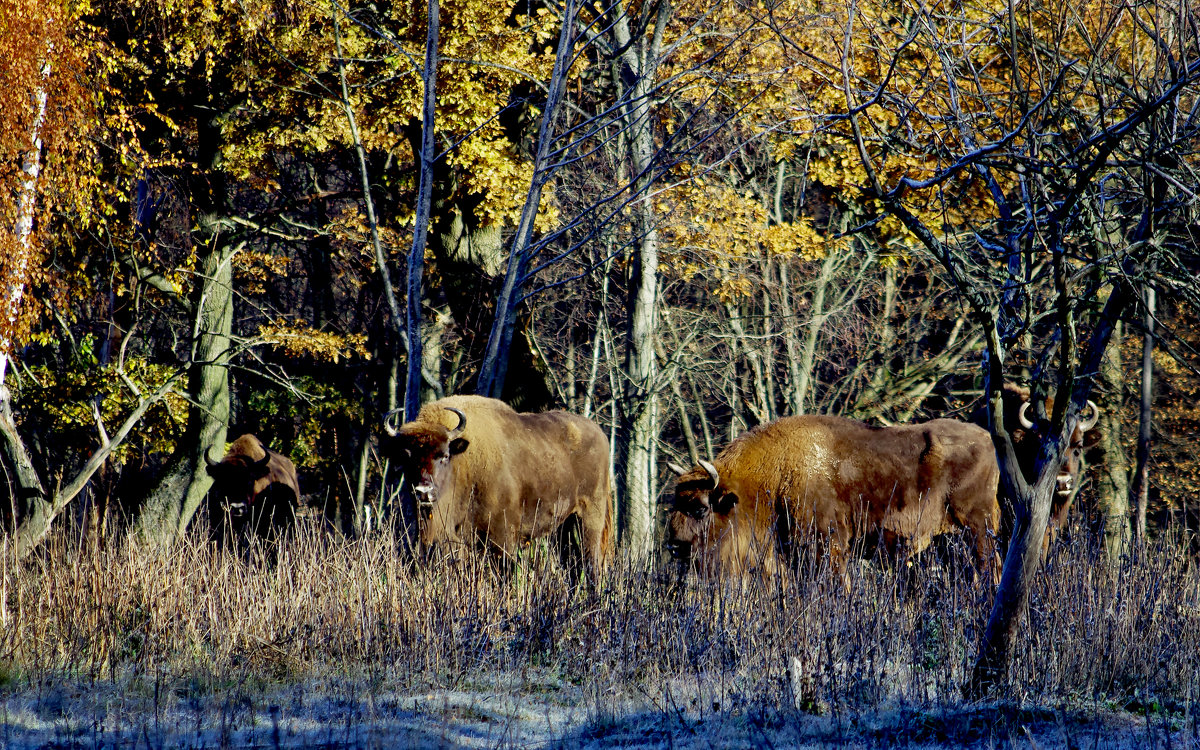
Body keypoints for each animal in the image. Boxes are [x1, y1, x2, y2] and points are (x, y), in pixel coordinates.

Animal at [381, 396, 614, 576]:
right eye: (406, 457)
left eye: (444, 455)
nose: (424, 492)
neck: (463, 462)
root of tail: (600, 435)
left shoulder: (502, 537)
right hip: (567, 524)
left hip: (589, 518)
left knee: (592, 563)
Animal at [667, 415, 1003, 585]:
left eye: (700, 508)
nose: (674, 545)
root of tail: (988, 438)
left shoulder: (828, 543)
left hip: (977, 527)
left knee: (989, 566)